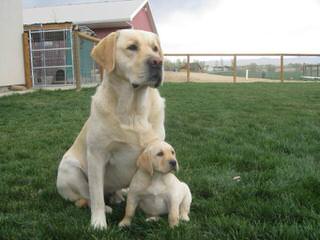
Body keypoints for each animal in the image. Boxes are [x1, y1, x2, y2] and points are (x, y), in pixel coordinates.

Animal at [56, 29, 165, 229]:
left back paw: (118, 195)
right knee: (87, 195)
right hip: (70, 169)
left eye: (155, 49)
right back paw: (106, 207)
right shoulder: (97, 155)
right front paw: (98, 223)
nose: (158, 62)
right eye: (132, 47)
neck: (133, 111)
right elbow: (96, 196)